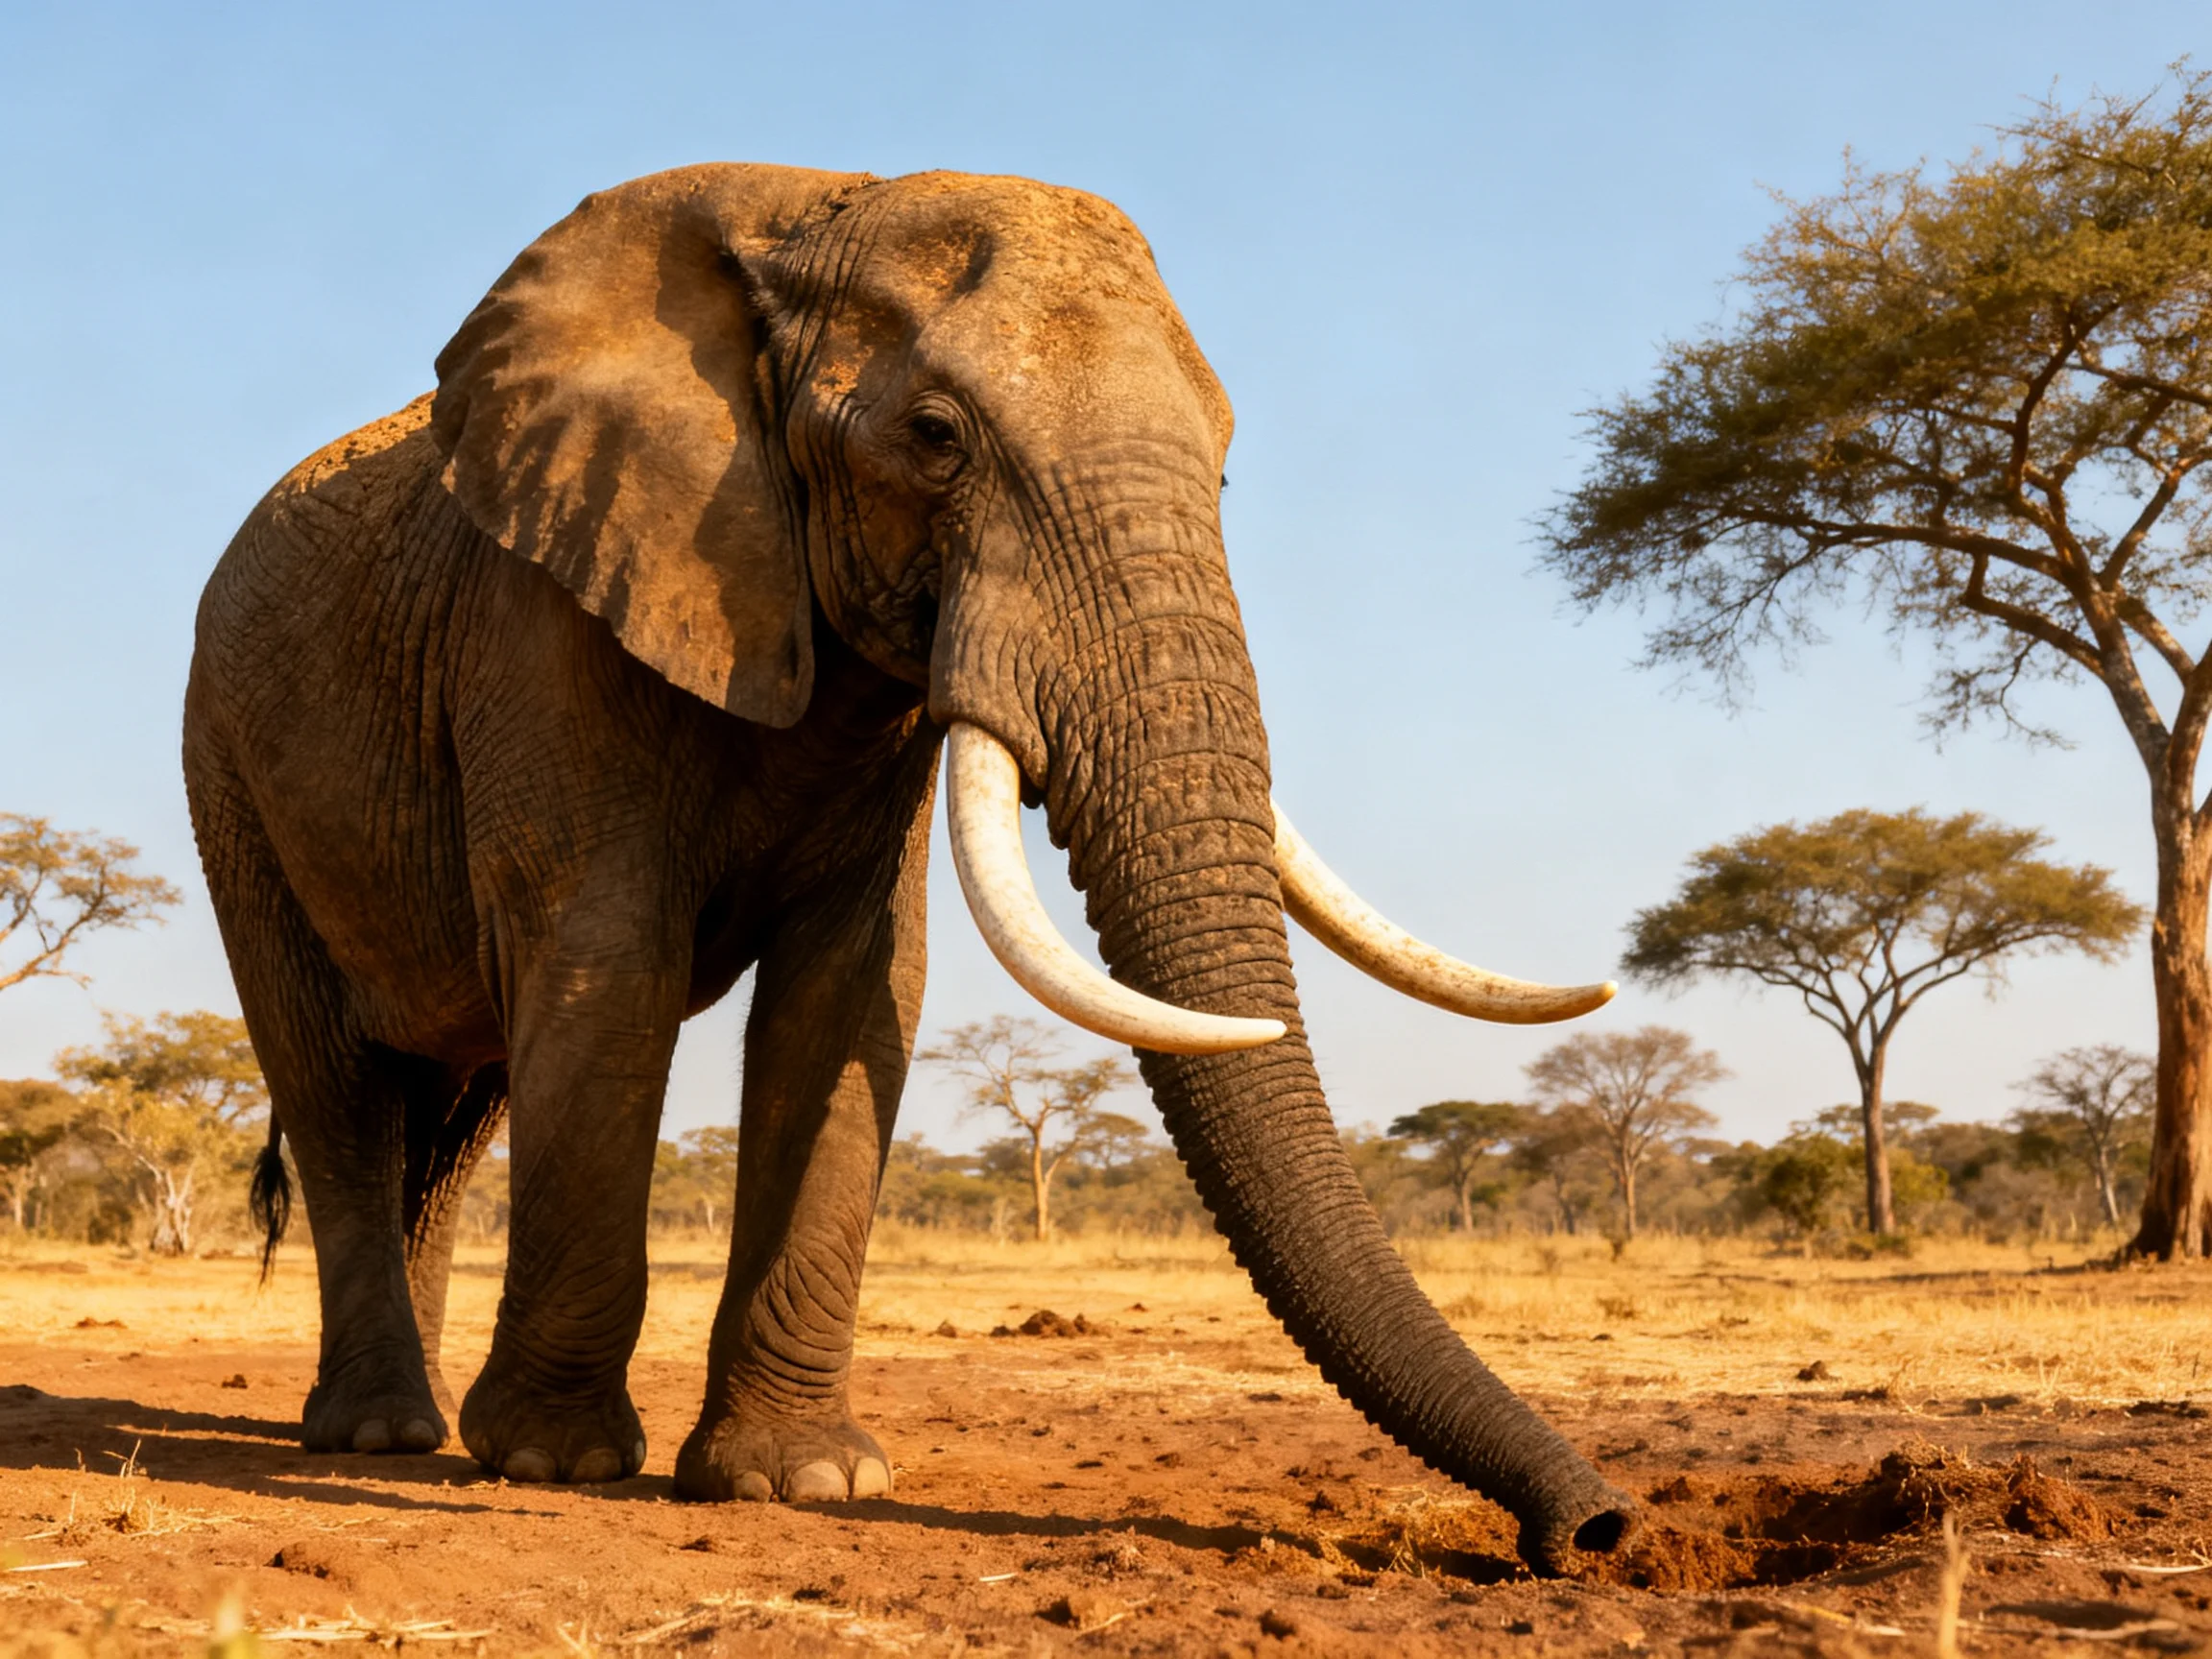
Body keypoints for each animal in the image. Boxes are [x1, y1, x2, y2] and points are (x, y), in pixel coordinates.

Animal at [182, 163, 1635, 1570]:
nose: (1593, 1531)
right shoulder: (543, 624)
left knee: (458, 1112)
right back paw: (375, 1436)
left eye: (1223, 469)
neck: (807, 214)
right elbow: (607, 965)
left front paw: (803, 1482)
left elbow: (857, 989)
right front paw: (557, 1464)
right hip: (226, 770)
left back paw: (419, 1430)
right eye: (936, 438)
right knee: (339, 1089)